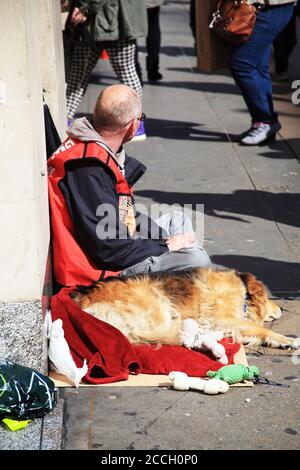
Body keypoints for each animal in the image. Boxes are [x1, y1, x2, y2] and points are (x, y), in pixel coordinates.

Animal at [71, 268, 300, 348]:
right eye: (268, 298)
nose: (281, 308)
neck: (242, 292)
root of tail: (84, 300)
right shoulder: (222, 319)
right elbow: (261, 328)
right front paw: (288, 340)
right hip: (157, 303)